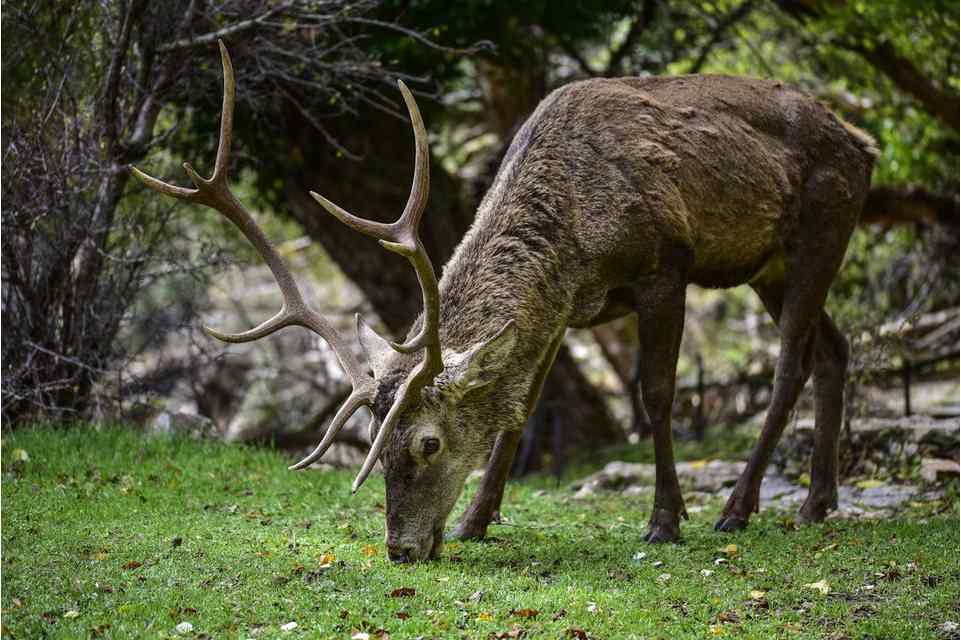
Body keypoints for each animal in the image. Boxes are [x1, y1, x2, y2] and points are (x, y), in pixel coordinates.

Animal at [133, 43, 876, 560]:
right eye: (373, 442)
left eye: (428, 443)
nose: (401, 549)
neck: (574, 233)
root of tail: (864, 142)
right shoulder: (563, 308)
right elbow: (520, 411)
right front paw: (474, 520)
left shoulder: (665, 265)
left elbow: (657, 395)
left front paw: (665, 520)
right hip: (767, 265)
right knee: (835, 349)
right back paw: (817, 501)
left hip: (823, 226)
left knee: (790, 364)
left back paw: (738, 507)